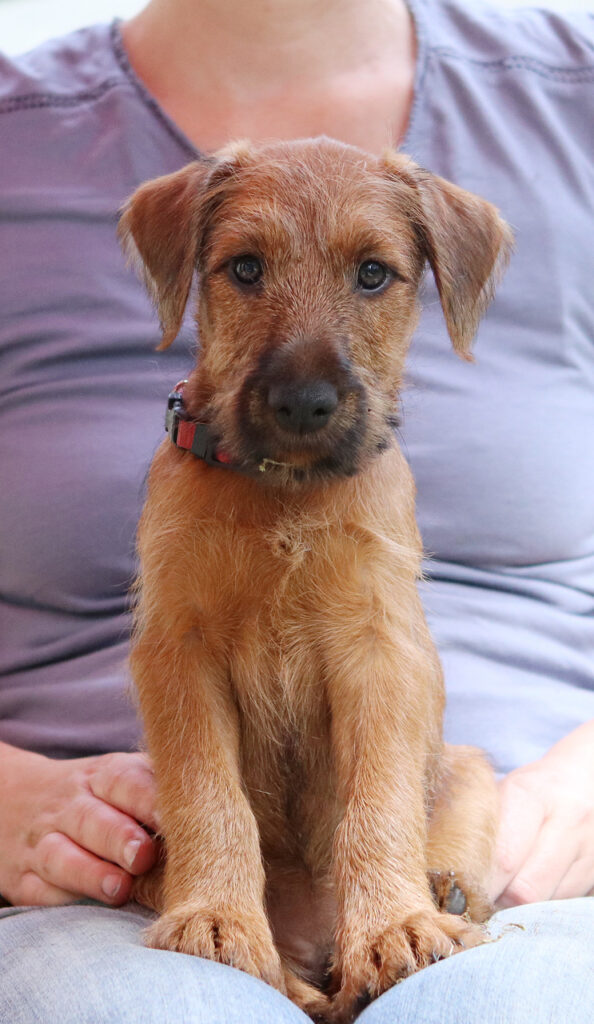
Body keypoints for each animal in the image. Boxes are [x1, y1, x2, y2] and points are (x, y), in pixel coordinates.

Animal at [119, 138, 510, 1024]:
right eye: (245, 268)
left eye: (372, 274)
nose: (304, 402)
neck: (282, 495)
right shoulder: (179, 652)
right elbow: (209, 795)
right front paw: (216, 919)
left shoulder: (378, 651)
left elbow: (378, 803)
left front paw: (395, 925)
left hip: (469, 767)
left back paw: (443, 896)